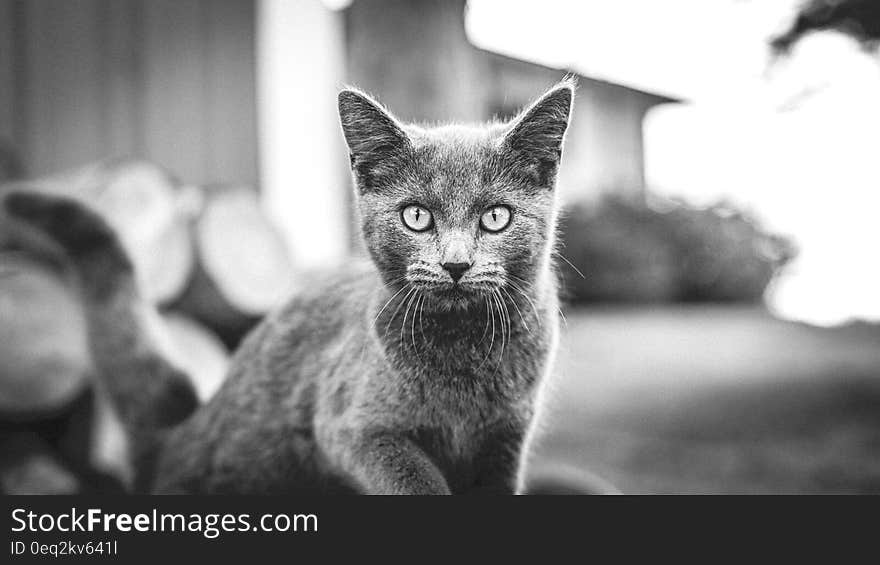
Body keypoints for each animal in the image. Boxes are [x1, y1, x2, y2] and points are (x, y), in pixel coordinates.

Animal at [5, 79, 576, 494]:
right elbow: (413, 477)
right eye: (416, 216)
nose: (456, 263)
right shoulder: (352, 426)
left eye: (496, 217)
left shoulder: (505, 443)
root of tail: (177, 438)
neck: (466, 353)